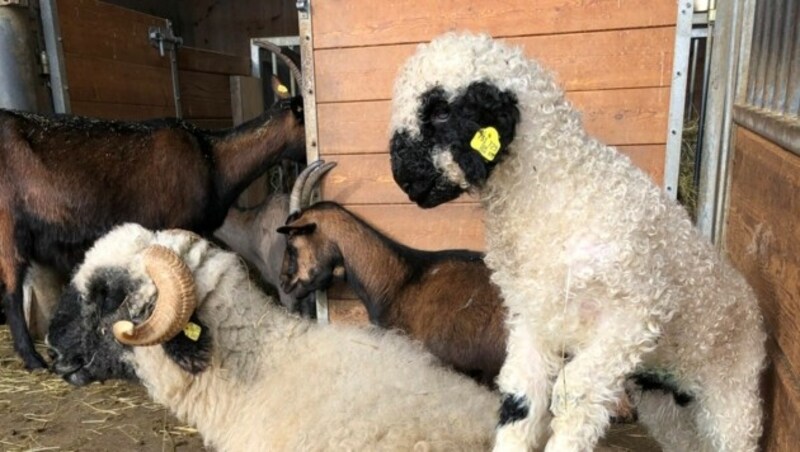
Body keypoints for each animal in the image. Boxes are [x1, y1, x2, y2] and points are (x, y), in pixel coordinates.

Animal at [388, 32, 768, 452]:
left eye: (440, 112)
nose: (404, 178)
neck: (559, 195)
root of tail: (746, 296)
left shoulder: (632, 319)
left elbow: (575, 396)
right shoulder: (533, 318)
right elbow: (521, 397)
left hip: (733, 388)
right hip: (665, 398)